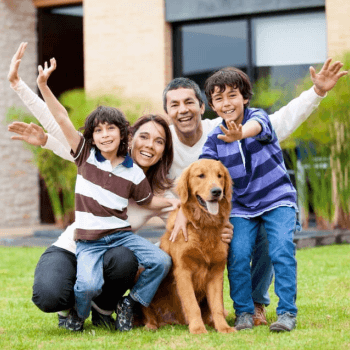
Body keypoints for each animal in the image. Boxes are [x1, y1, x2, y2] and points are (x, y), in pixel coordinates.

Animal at [135, 159, 237, 334]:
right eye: (201, 175)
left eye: (220, 176)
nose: (217, 191)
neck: (204, 226)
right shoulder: (183, 271)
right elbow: (192, 304)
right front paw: (197, 328)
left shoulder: (216, 271)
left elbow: (217, 305)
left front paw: (223, 327)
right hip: (141, 272)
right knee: (146, 309)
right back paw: (151, 325)